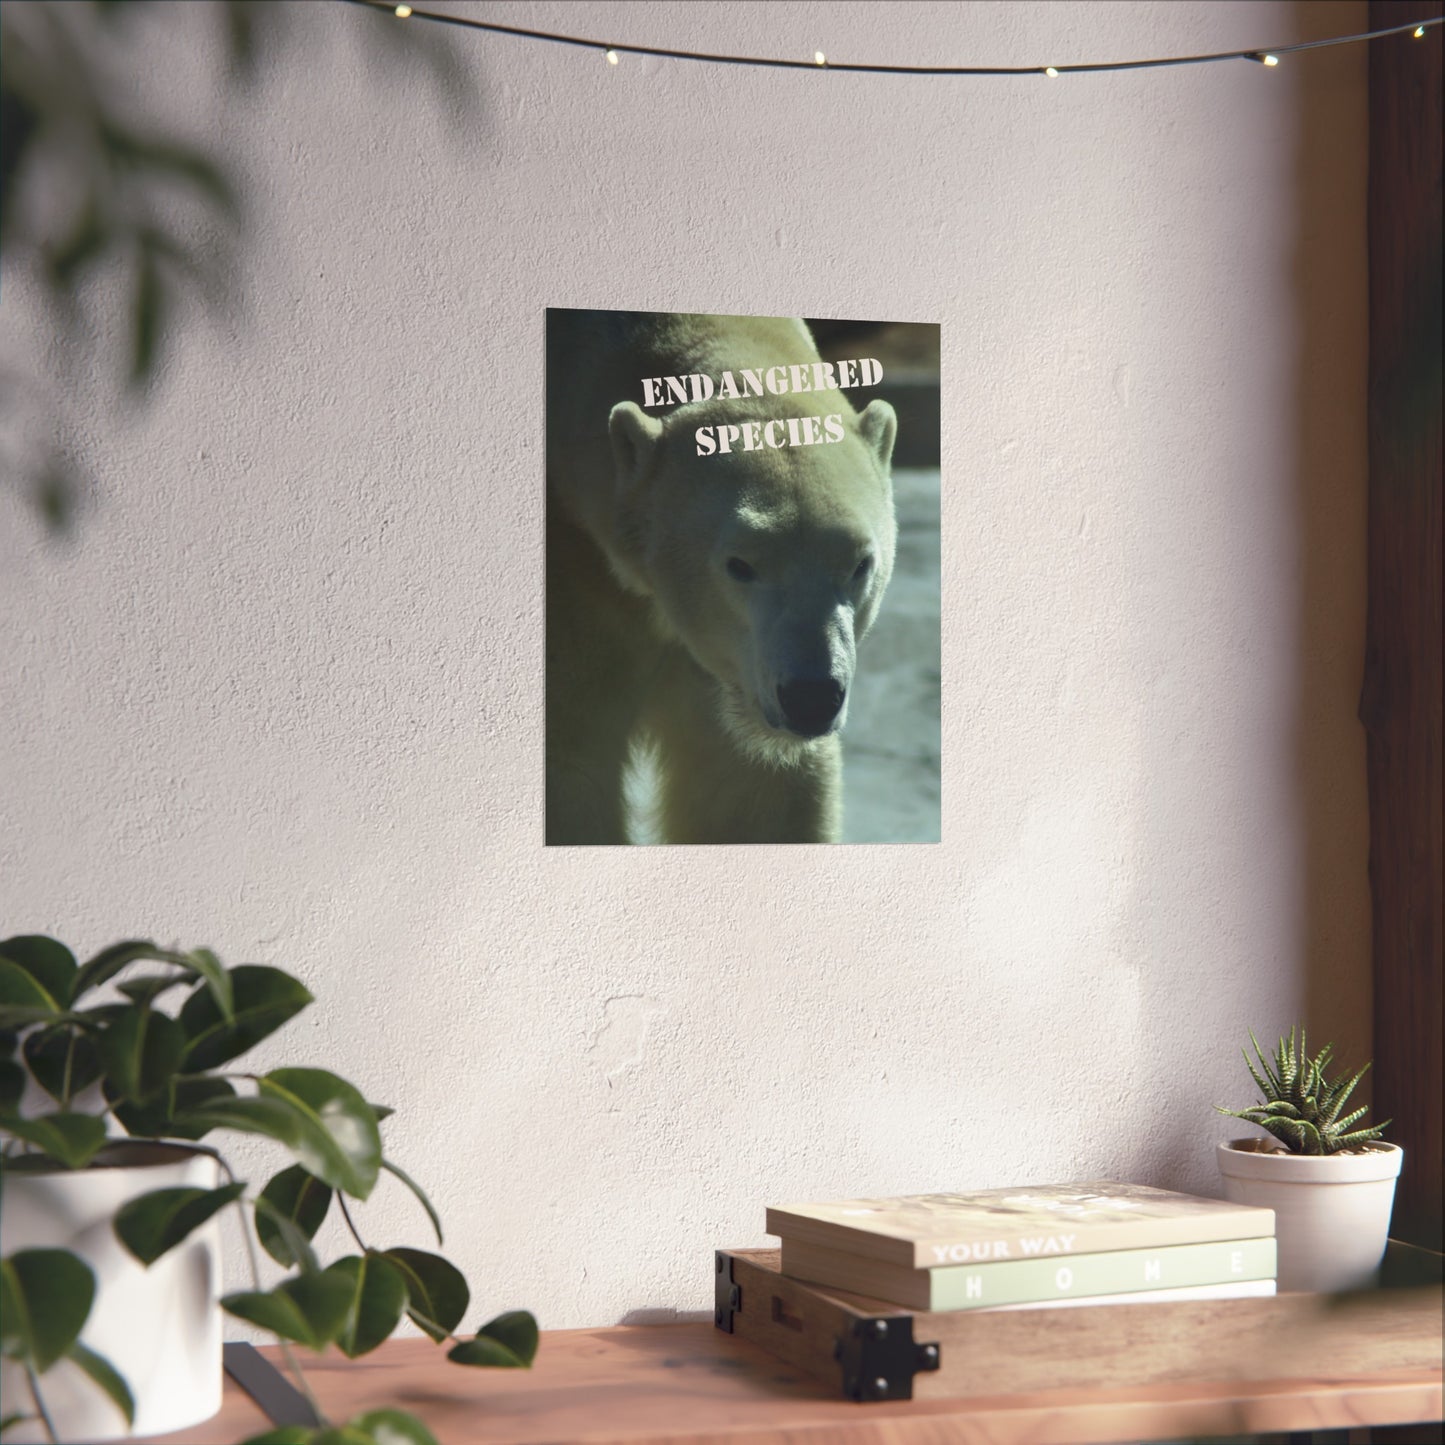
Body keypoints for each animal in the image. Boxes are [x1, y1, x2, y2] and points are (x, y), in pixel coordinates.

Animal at [545, 309, 898, 845]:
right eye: (740, 565)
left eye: (860, 564)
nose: (811, 697)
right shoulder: (579, 581)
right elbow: (573, 767)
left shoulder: (730, 671)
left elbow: (751, 793)